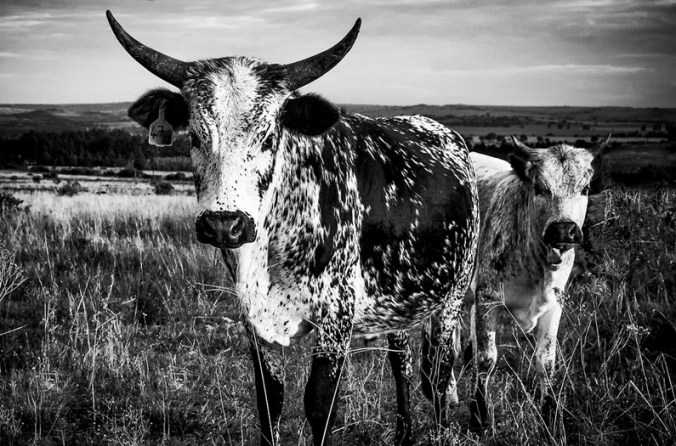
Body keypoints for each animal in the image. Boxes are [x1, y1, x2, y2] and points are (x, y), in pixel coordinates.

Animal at [106, 11, 479, 446]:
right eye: (195, 137)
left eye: (269, 136)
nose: (224, 225)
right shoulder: (252, 317)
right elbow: (270, 401)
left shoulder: (337, 317)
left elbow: (319, 404)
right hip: (398, 299)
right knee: (400, 361)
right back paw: (404, 434)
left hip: (454, 292)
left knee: (438, 373)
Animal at [431, 136, 608, 432]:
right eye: (539, 187)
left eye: (584, 189)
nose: (563, 230)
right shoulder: (489, 298)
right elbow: (486, 358)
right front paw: (480, 416)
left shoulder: (554, 305)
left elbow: (546, 362)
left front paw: (550, 415)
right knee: (445, 347)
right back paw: (448, 392)